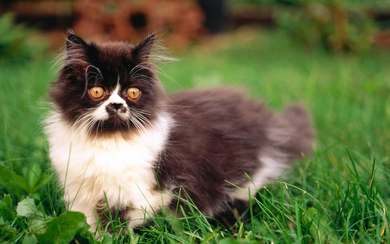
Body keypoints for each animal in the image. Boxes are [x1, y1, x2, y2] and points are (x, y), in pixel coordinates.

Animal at [45, 32, 314, 233]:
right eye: (97, 91)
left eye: (133, 92)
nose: (117, 105)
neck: (107, 139)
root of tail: (268, 124)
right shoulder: (80, 191)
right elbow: (87, 221)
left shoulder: (151, 190)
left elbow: (126, 219)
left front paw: (114, 234)